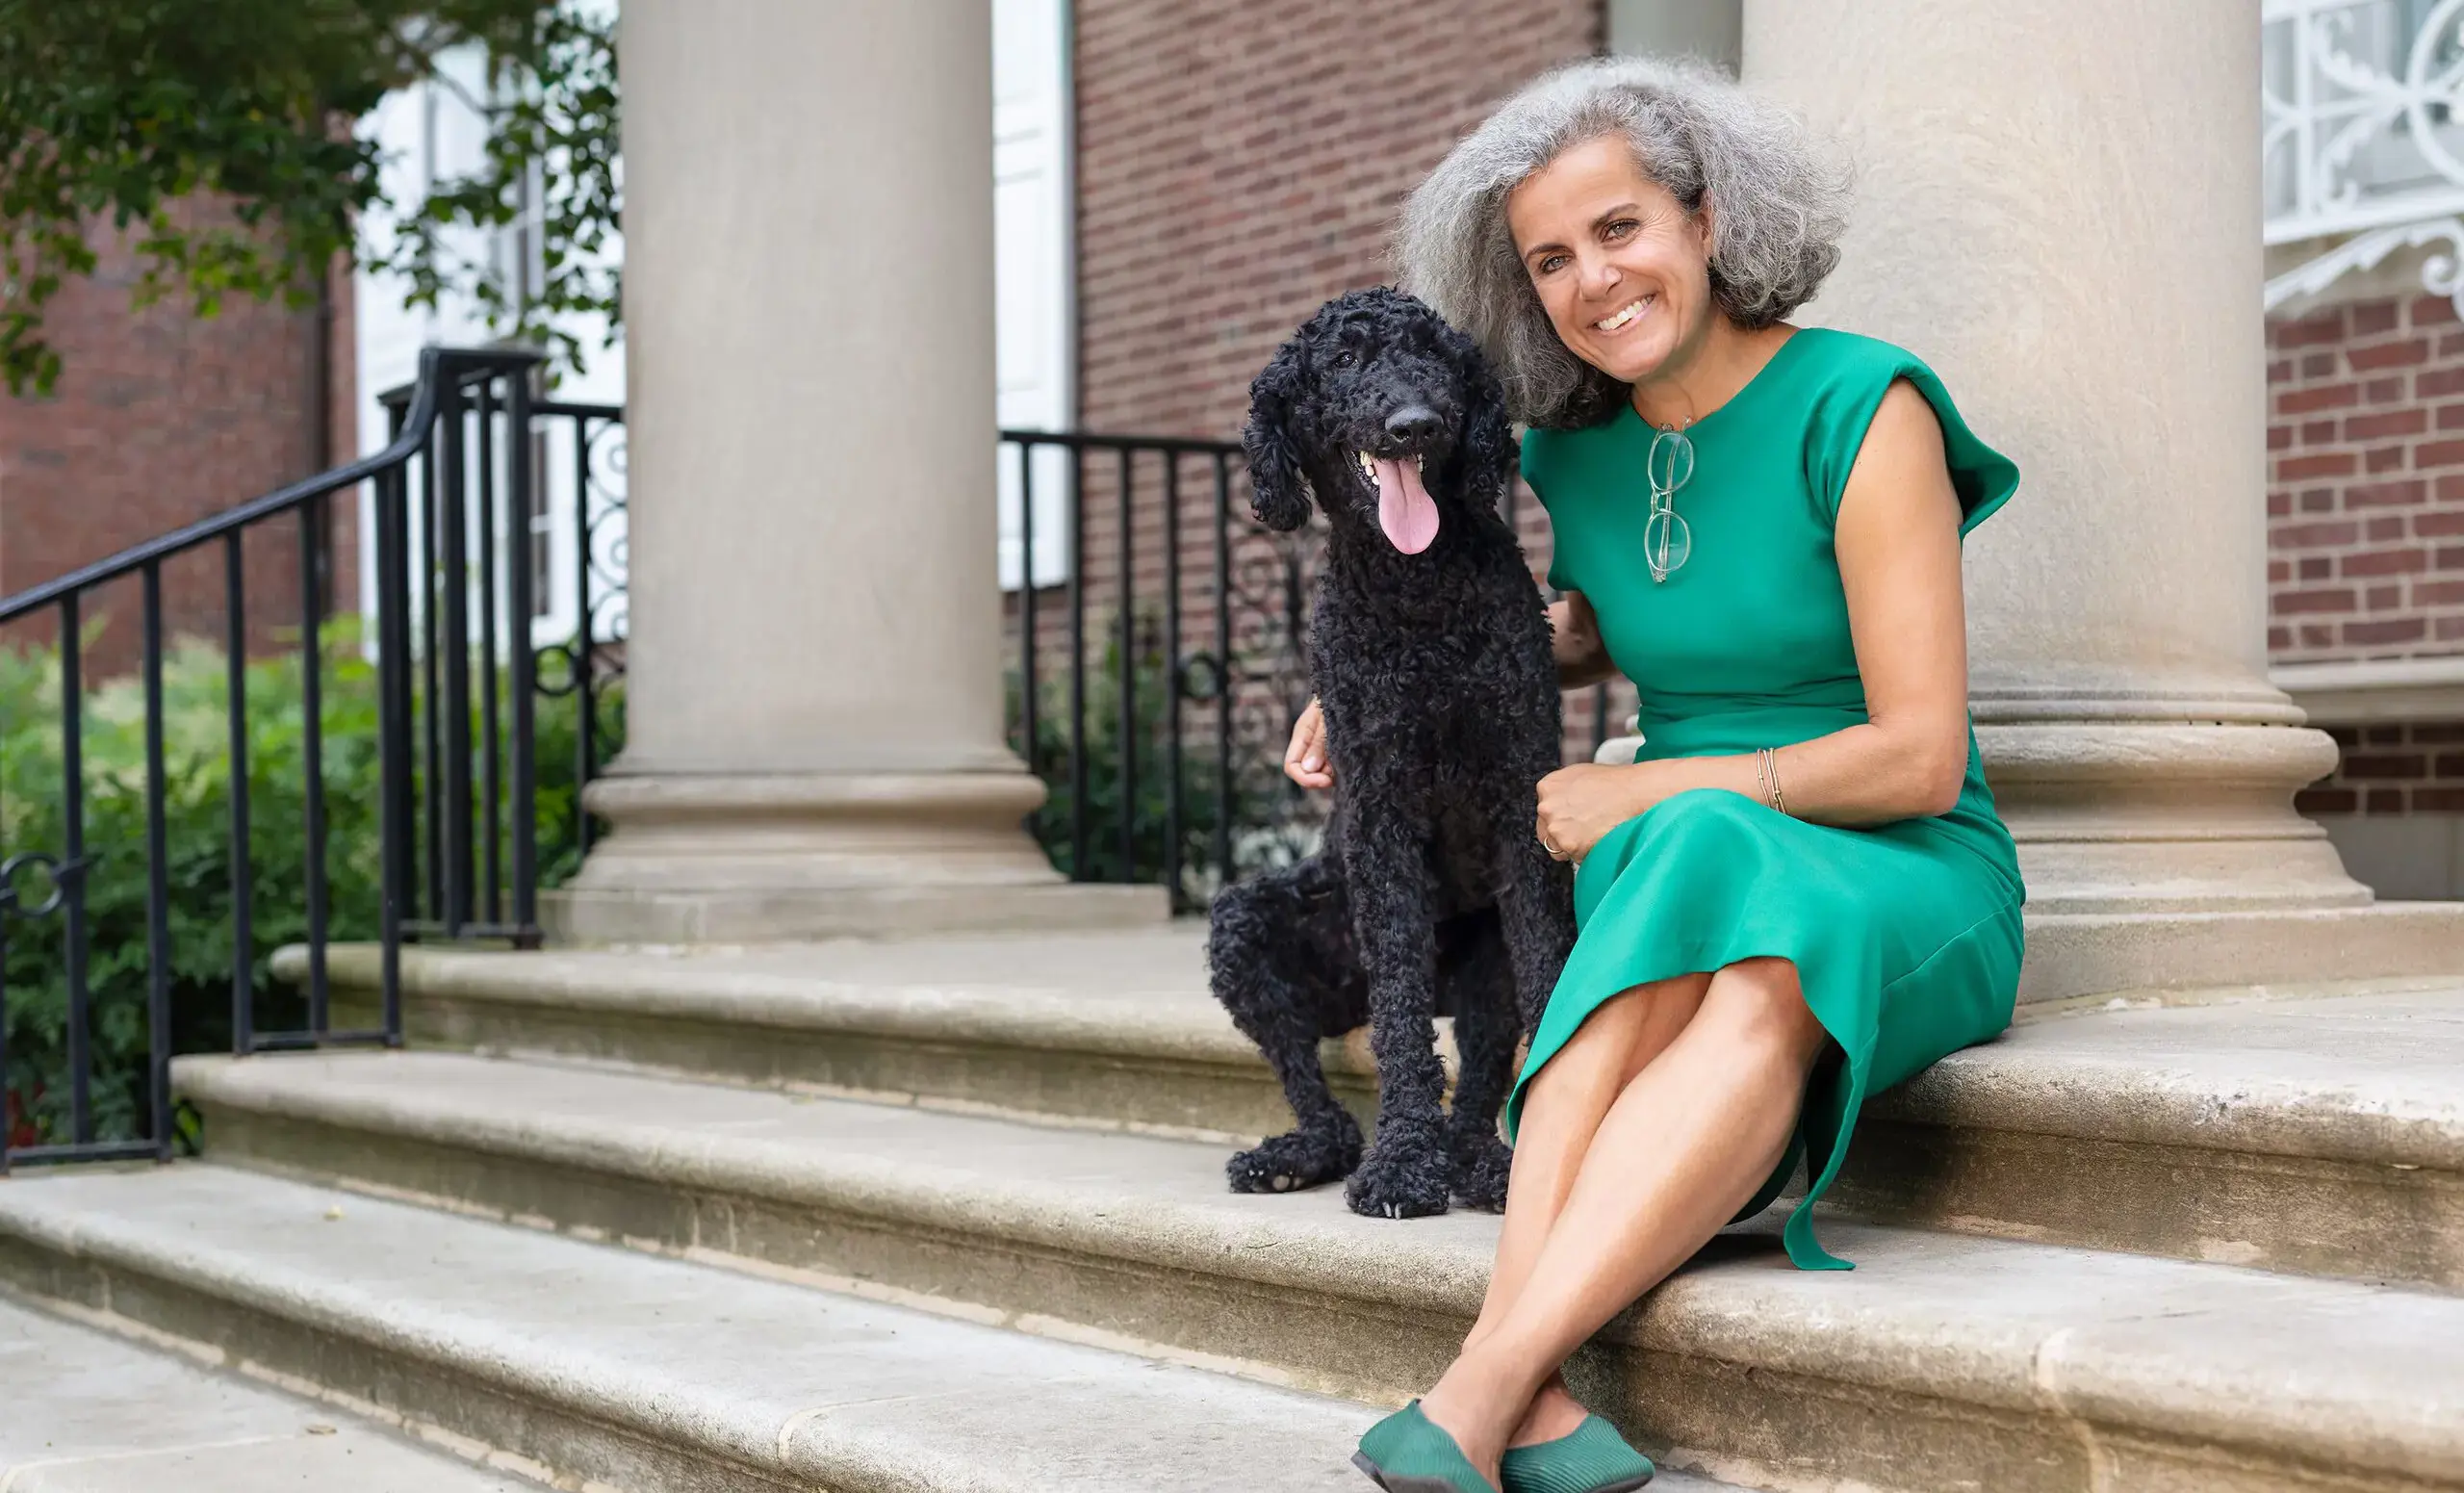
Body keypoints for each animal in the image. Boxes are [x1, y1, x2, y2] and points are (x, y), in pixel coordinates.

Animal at [1212, 287, 1577, 1222]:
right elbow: (1401, 1015)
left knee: (1480, 1076)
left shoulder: (1520, 799)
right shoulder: (1379, 816)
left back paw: (1482, 1162)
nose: (1414, 422)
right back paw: (1302, 1154)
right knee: (1319, 1087)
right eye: (1343, 362)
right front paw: (1404, 1162)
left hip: (1481, 968)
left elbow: (1548, 973)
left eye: (1436, 357)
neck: (1418, 597)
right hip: (1248, 930)